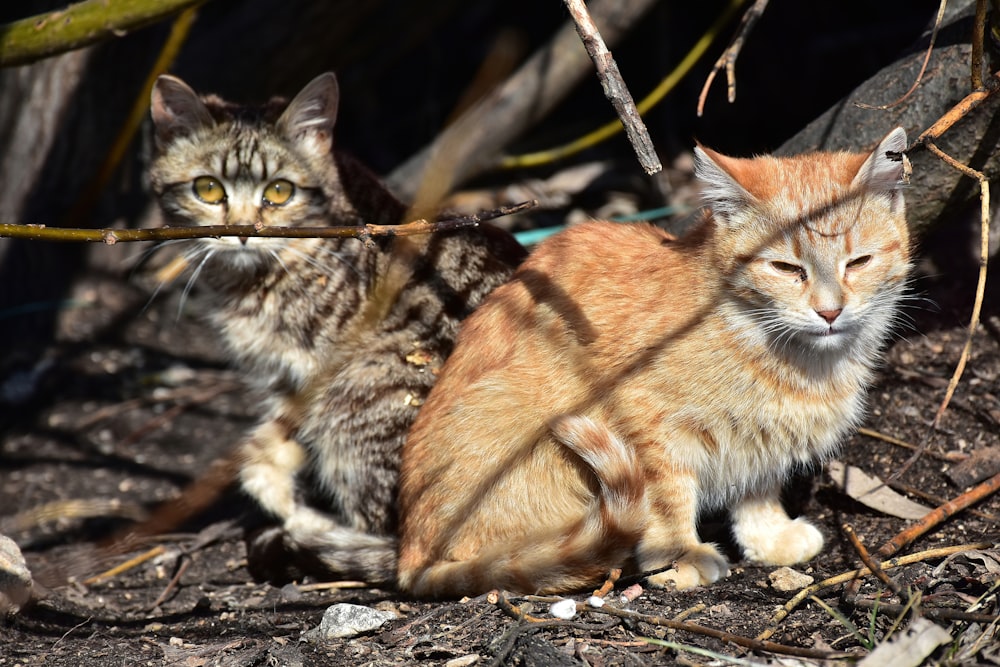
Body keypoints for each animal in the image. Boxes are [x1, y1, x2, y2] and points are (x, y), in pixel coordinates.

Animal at [150, 74, 524, 584]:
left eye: (279, 192)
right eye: (207, 189)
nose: (243, 230)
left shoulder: (308, 368)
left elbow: (279, 434)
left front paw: (271, 489)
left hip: (360, 391)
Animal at [394, 128, 912, 596]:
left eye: (858, 262)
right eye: (786, 268)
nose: (830, 311)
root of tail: (408, 558)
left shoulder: (761, 441)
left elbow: (757, 488)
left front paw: (768, 537)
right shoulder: (645, 423)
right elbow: (666, 496)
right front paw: (678, 556)